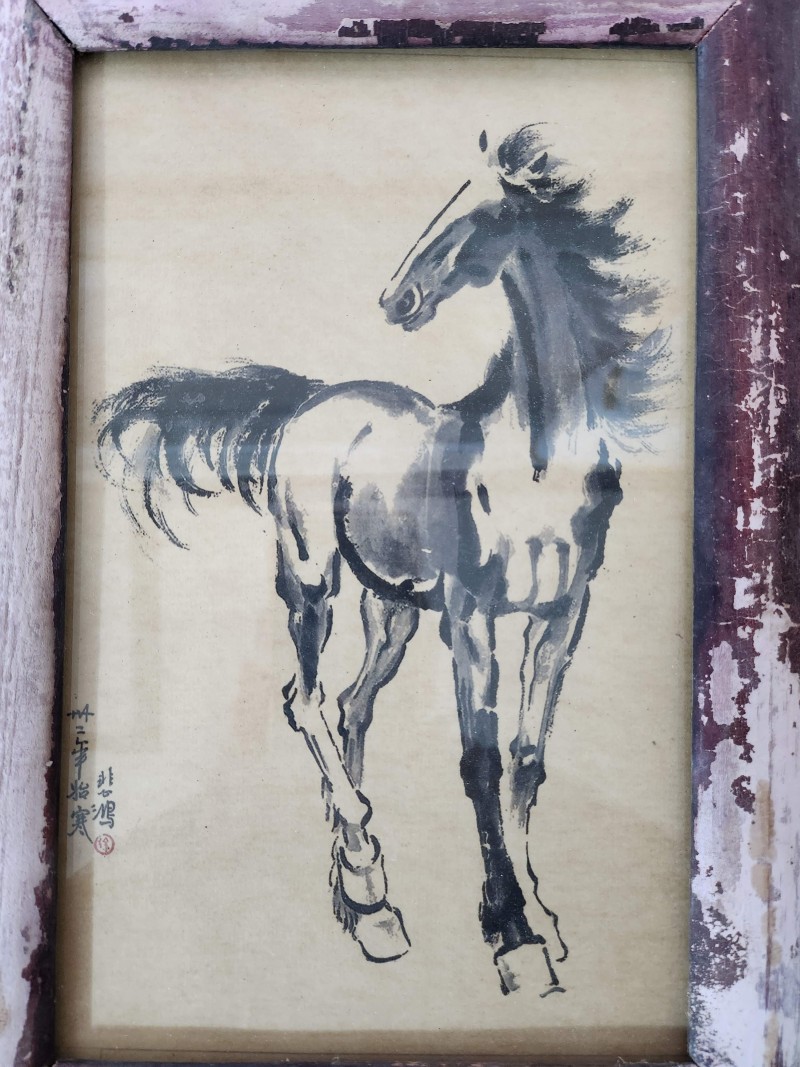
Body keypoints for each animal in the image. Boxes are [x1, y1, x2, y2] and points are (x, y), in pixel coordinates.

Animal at [94, 124, 668, 995]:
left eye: (486, 212)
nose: (398, 298)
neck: (536, 464)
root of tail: (310, 400)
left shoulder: (564, 615)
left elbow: (529, 758)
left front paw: (543, 915)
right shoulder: (470, 617)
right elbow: (479, 762)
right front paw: (512, 933)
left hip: (392, 608)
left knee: (350, 706)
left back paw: (364, 897)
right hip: (311, 582)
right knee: (304, 700)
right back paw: (366, 869)